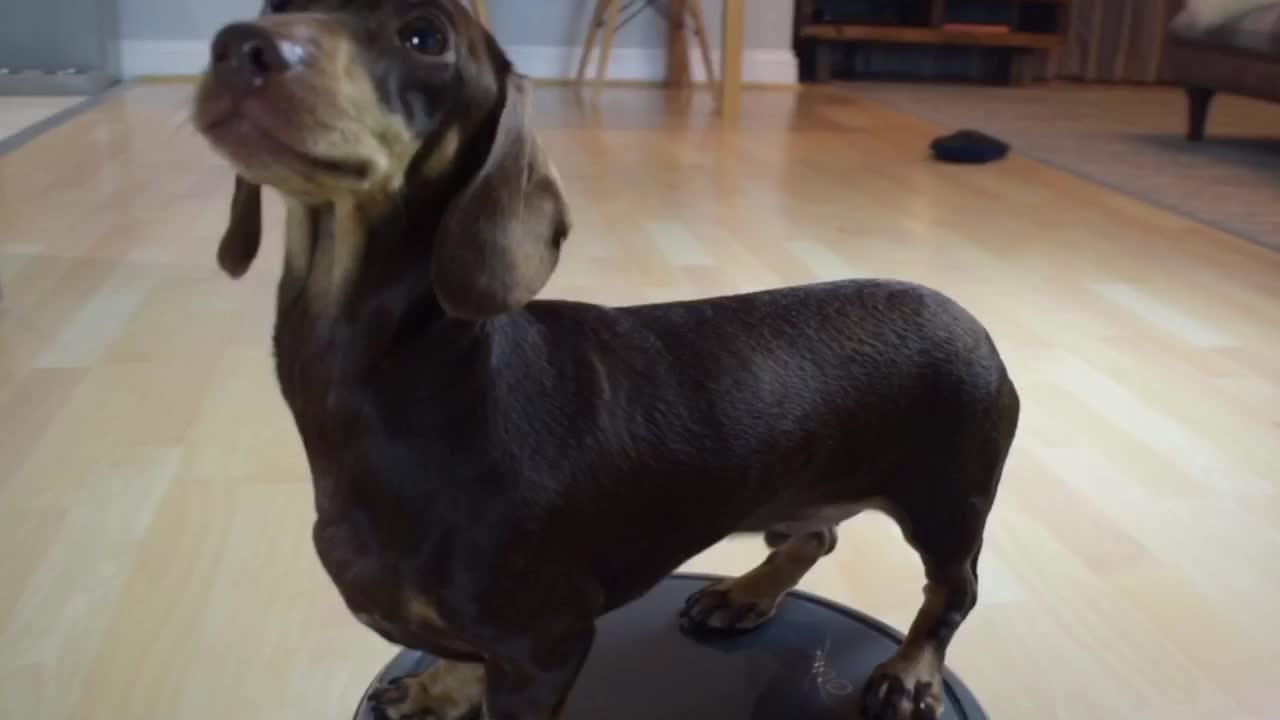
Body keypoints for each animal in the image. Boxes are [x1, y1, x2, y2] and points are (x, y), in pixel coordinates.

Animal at [192, 2, 1018, 712]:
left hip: (948, 503)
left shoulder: (546, 642)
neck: (420, 380)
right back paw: (745, 592)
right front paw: (439, 690)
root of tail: (969, 319)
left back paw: (910, 670)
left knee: (953, 594)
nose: (238, 47)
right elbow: (462, 655)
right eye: (274, 5)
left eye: (425, 36)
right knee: (817, 532)